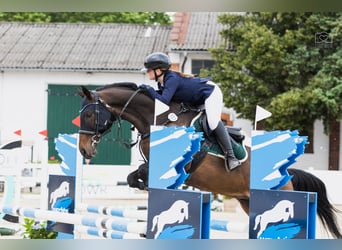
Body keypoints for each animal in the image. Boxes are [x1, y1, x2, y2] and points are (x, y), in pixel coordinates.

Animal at [78, 82, 342, 238]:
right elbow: (133, 176)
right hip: (248, 202)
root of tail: (288, 175)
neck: (159, 119)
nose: (83, 150)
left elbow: (141, 173)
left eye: (89, 114)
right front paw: (143, 187)